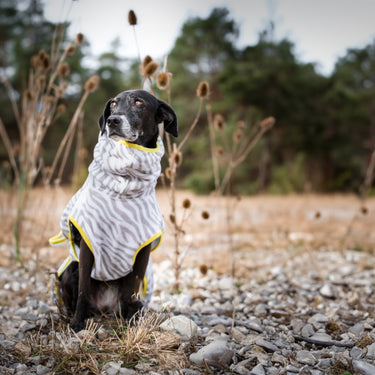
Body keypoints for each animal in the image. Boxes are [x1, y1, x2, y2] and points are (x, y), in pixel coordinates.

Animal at [50, 90, 178, 332]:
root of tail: (104, 308)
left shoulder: (142, 251)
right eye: (113, 105)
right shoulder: (88, 246)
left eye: (139, 102)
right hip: (70, 268)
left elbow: (130, 292)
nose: (112, 120)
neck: (124, 183)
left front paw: (130, 324)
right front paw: (77, 324)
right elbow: (83, 291)